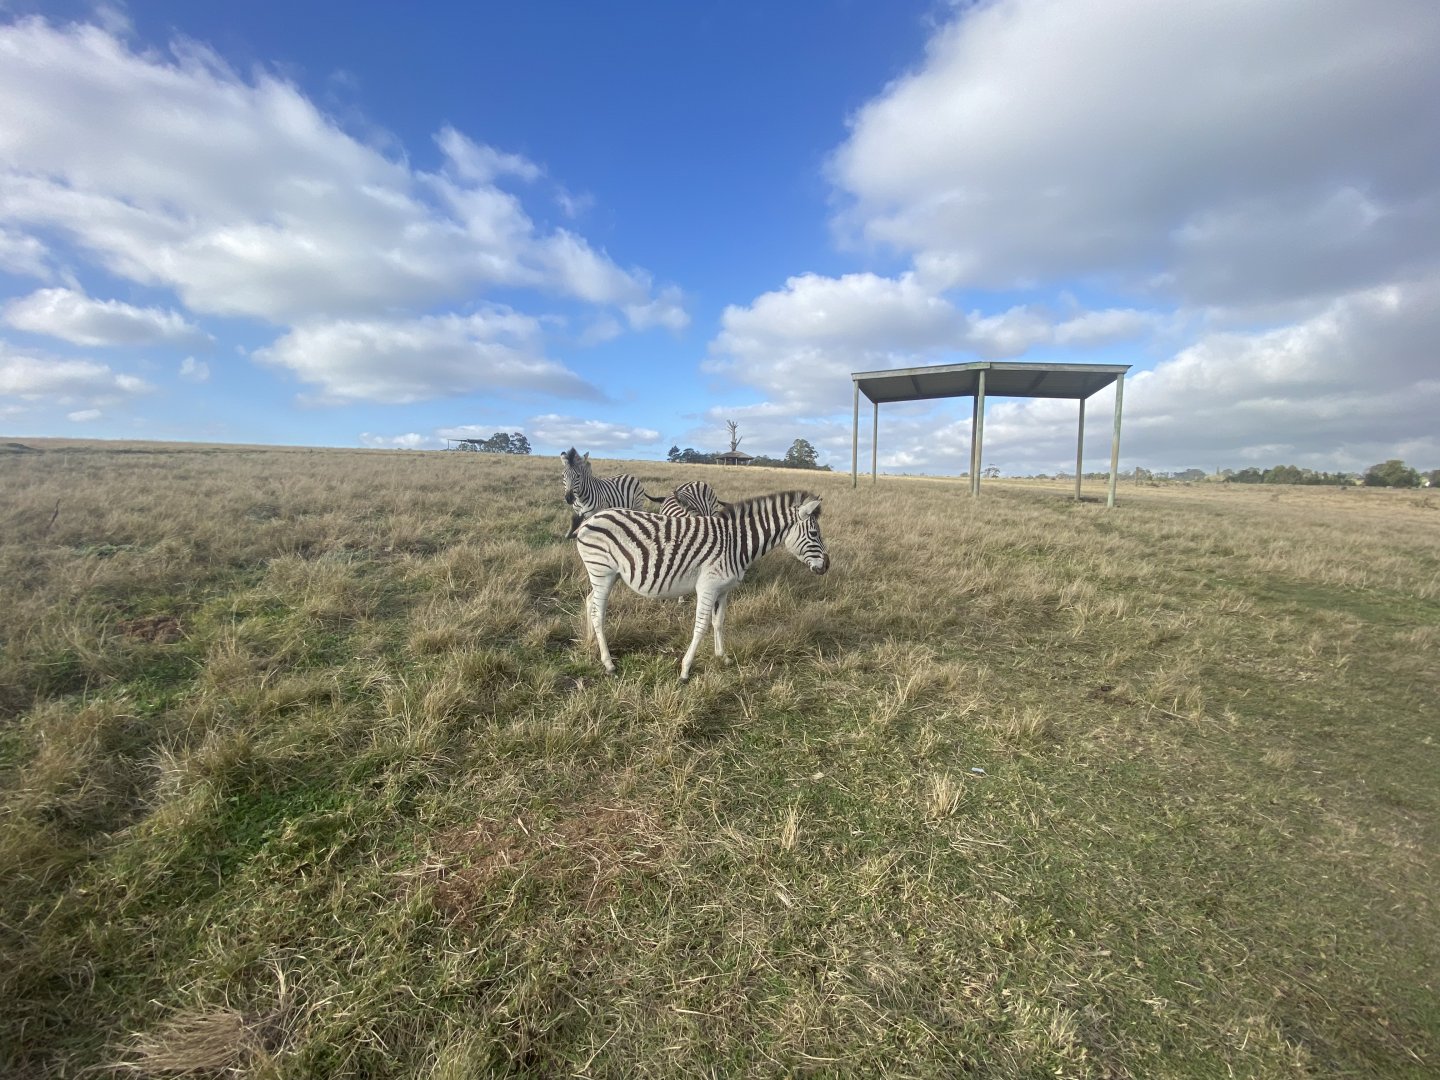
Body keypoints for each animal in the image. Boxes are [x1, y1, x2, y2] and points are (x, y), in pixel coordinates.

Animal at [573, 490, 829, 682]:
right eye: (814, 533)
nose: (826, 566)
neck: (736, 545)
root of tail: (590, 519)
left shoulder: (723, 590)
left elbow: (719, 622)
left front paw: (722, 657)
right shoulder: (708, 586)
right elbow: (701, 626)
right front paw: (686, 670)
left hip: (606, 575)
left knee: (589, 601)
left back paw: (591, 643)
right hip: (603, 572)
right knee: (597, 612)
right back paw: (608, 663)